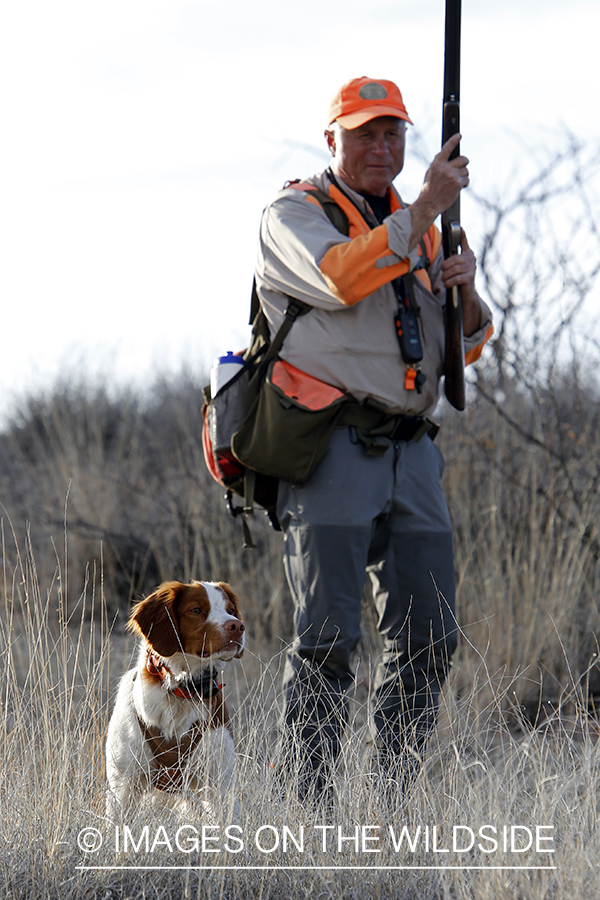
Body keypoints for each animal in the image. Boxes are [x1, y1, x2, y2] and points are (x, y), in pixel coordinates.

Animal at [105, 580, 244, 820]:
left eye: (231, 610)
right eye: (196, 610)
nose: (236, 626)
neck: (181, 690)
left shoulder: (219, 785)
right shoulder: (123, 786)